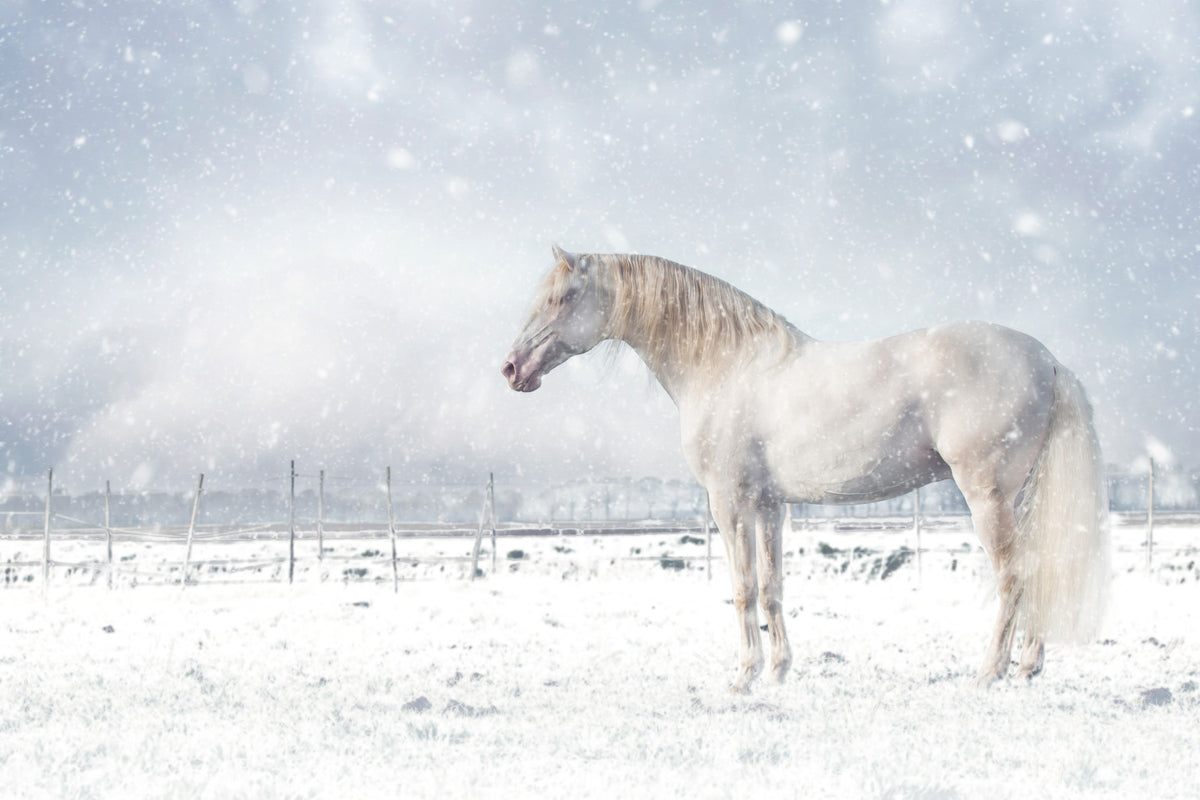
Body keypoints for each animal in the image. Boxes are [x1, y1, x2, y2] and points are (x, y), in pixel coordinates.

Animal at [502, 246, 1110, 692]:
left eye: (565, 297)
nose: (511, 368)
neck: (724, 365)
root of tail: (1050, 362)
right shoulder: (770, 505)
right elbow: (773, 587)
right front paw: (778, 671)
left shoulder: (729, 502)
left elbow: (743, 587)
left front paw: (744, 677)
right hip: (1022, 498)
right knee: (1039, 567)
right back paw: (1028, 666)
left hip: (987, 496)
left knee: (1012, 575)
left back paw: (990, 673)